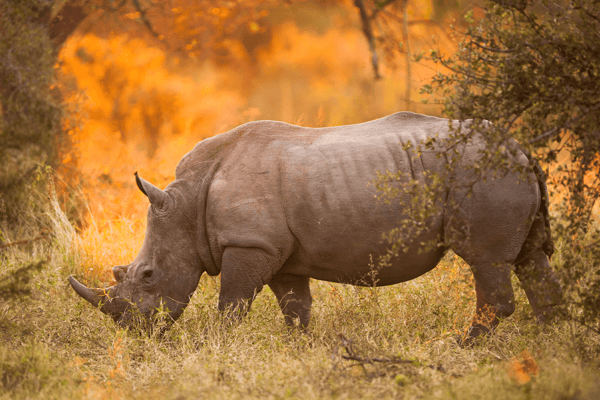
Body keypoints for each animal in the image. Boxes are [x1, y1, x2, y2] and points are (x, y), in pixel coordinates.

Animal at [68, 111, 560, 340]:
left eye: (148, 275)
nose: (134, 332)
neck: (187, 203)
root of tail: (519, 147)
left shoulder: (250, 244)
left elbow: (232, 305)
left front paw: (217, 345)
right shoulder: (279, 253)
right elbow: (296, 310)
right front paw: (298, 350)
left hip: (485, 174)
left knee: (487, 261)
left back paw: (461, 346)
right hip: (502, 171)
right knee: (531, 259)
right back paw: (552, 345)